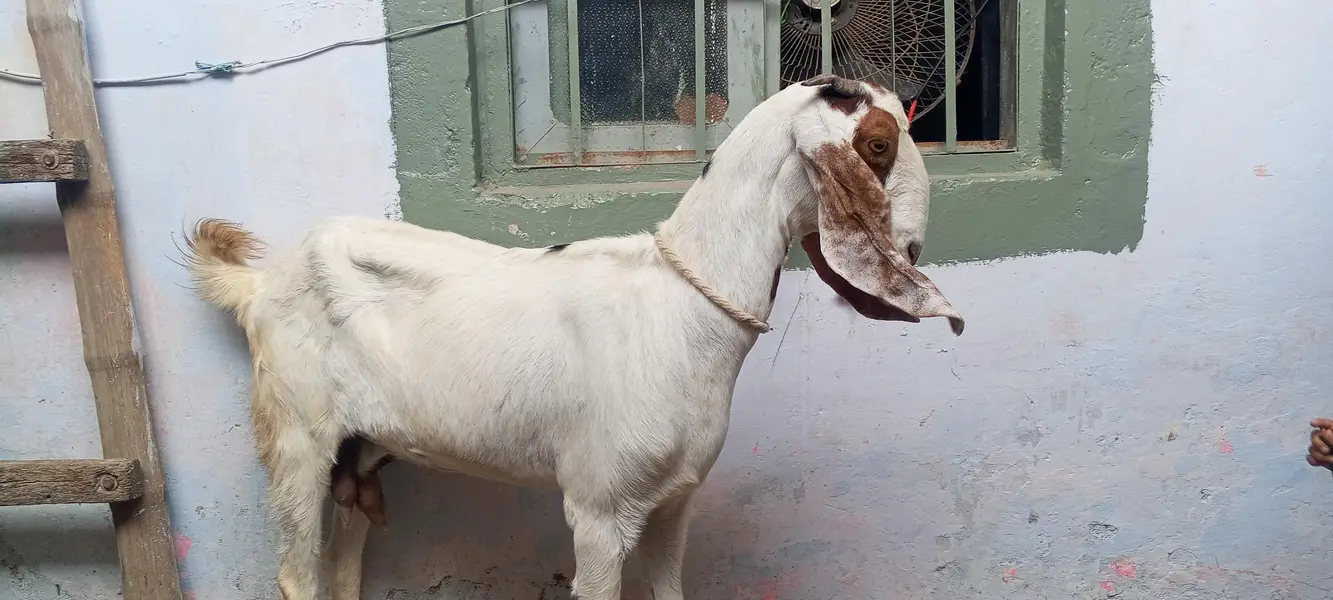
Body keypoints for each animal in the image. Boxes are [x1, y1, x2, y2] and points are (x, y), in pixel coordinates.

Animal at [183, 74, 964, 600]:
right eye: (877, 144)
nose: (915, 247)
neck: (678, 309)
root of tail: (260, 286)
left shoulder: (674, 503)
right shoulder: (598, 507)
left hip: (362, 448)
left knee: (345, 563)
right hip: (296, 436)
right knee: (297, 573)